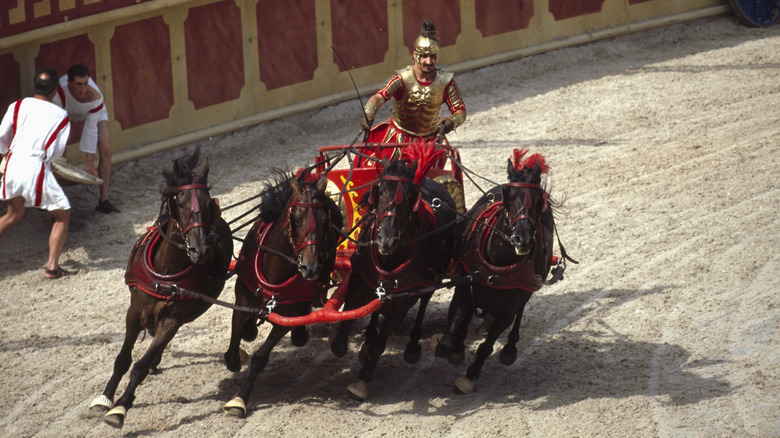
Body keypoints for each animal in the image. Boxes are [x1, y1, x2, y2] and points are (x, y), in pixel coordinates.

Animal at [89, 150, 232, 428]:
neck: (165, 274)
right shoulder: (133, 313)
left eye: (208, 203)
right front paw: (105, 398)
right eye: (182, 203)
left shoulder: (172, 320)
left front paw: (121, 407)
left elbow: (139, 366)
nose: (199, 250)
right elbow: (122, 360)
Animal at [221, 169, 340, 418]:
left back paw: (299, 333)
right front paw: (238, 350)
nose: (310, 268)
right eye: (296, 219)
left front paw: (239, 399)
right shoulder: (242, 299)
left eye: (326, 222)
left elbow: (261, 357)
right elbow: (234, 344)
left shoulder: (287, 314)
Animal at [328, 149, 458, 402]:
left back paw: (412, 346)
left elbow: (381, 342)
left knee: (423, 304)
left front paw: (362, 380)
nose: (386, 240)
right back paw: (368, 337)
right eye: (380, 192)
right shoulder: (359, 281)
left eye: (409, 198)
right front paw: (342, 341)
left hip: (432, 279)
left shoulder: (402, 303)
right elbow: (347, 325)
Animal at [432, 150, 568, 394]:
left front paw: (470, 376)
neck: (499, 263)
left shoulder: (509, 309)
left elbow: (487, 346)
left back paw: (510, 348)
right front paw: (452, 348)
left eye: (537, 199)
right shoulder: (465, 287)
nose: (522, 239)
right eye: (509, 195)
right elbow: (452, 329)